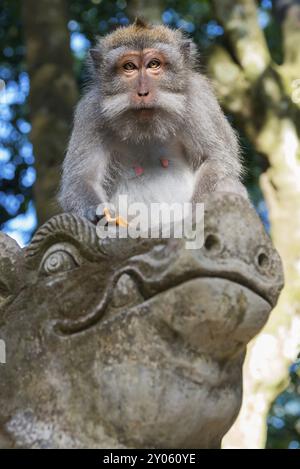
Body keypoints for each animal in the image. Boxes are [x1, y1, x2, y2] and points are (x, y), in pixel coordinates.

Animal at [58, 18, 246, 223]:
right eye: (129, 67)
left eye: (154, 64)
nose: (143, 92)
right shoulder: (90, 113)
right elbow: (81, 178)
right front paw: (95, 212)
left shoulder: (200, 101)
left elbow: (217, 159)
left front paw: (198, 211)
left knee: (228, 182)